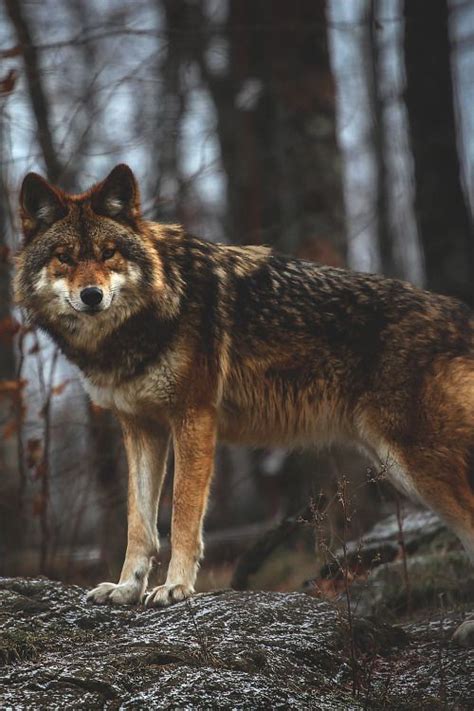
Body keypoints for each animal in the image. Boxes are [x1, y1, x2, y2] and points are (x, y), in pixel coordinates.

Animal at [14, 165, 474, 636]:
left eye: (109, 254)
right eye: (65, 257)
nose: (92, 295)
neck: (153, 309)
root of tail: (460, 315)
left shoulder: (193, 418)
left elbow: (182, 514)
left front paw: (175, 588)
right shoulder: (141, 428)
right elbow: (139, 524)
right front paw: (126, 589)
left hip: (416, 466)